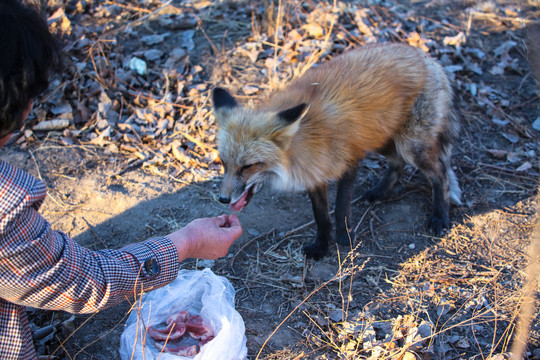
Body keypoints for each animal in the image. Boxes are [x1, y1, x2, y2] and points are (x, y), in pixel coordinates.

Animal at [213, 43, 462, 258]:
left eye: (248, 166)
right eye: (224, 163)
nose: (223, 199)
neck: (305, 138)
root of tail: (428, 58)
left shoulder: (349, 161)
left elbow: (341, 207)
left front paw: (344, 237)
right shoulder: (314, 174)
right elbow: (322, 216)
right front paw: (322, 246)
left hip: (410, 145)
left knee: (440, 175)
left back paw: (439, 217)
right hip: (381, 140)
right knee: (398, 163)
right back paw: (380, 192)